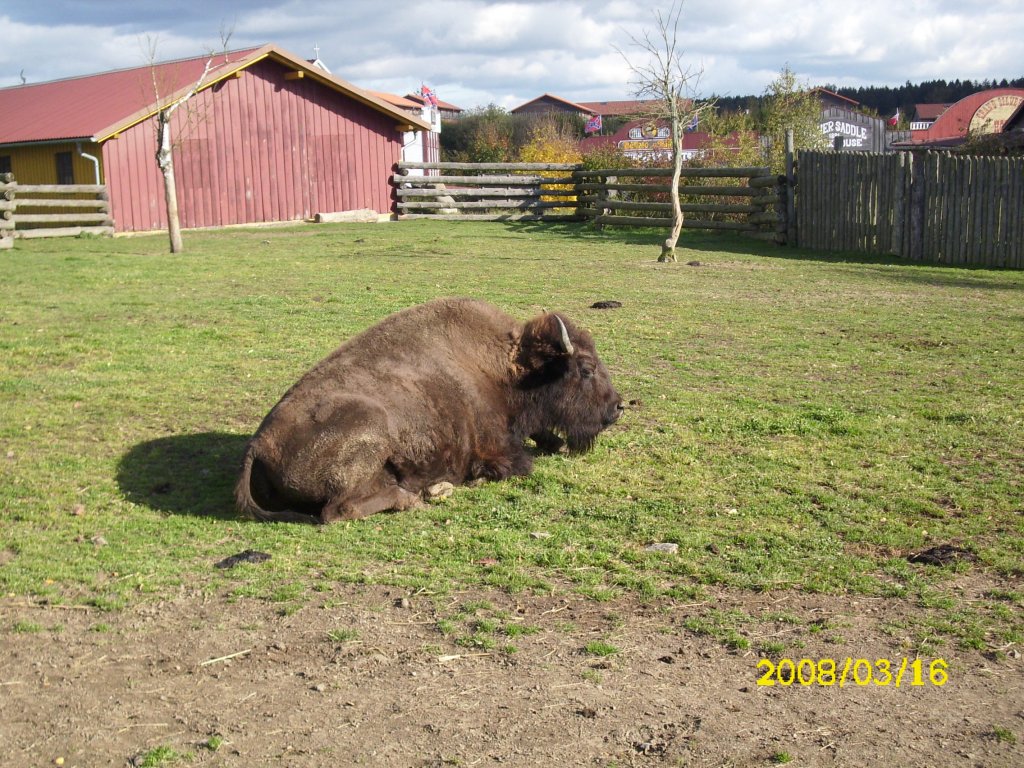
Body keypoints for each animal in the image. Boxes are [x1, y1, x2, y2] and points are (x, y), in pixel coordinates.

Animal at [237, 296, 622, 528]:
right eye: (586, 368)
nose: (618, 407)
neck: (508, 369)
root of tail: (259, 444)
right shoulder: (494, 449)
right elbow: (517, 464)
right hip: (371, 429)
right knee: (336, 510)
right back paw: (417, 497)